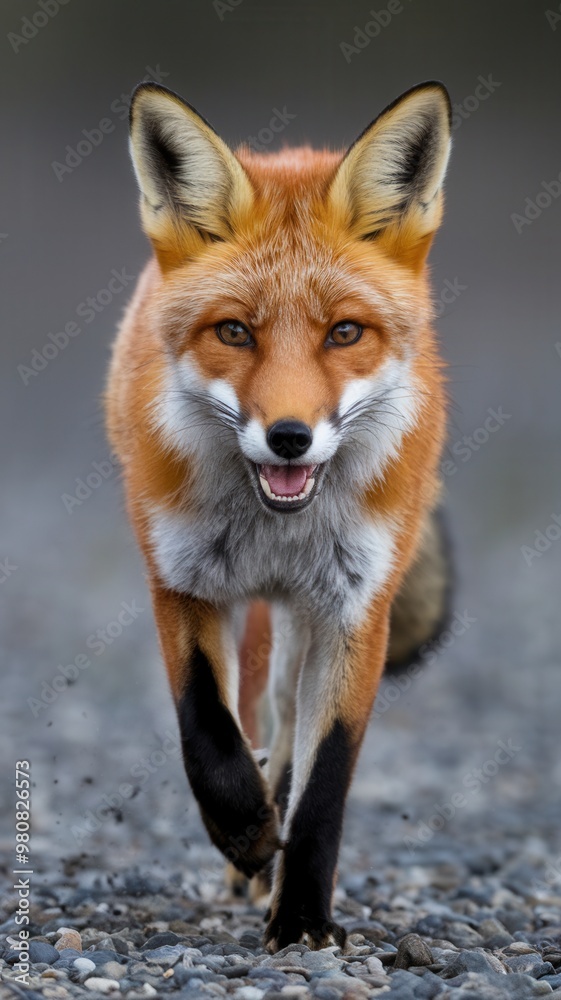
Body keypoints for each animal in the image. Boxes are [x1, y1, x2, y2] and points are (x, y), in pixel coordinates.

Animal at [105, 80, 452, 951]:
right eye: (234, 331)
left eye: (344, 333)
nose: (289, 437)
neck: (275, 528)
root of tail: (292, 151)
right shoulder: (180, 578)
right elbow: (206, 728)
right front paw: (244, 831)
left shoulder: (357, 607)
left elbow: (323, 779)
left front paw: (300, 920)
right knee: (253, 720)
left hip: (304, 620)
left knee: (287, 729)